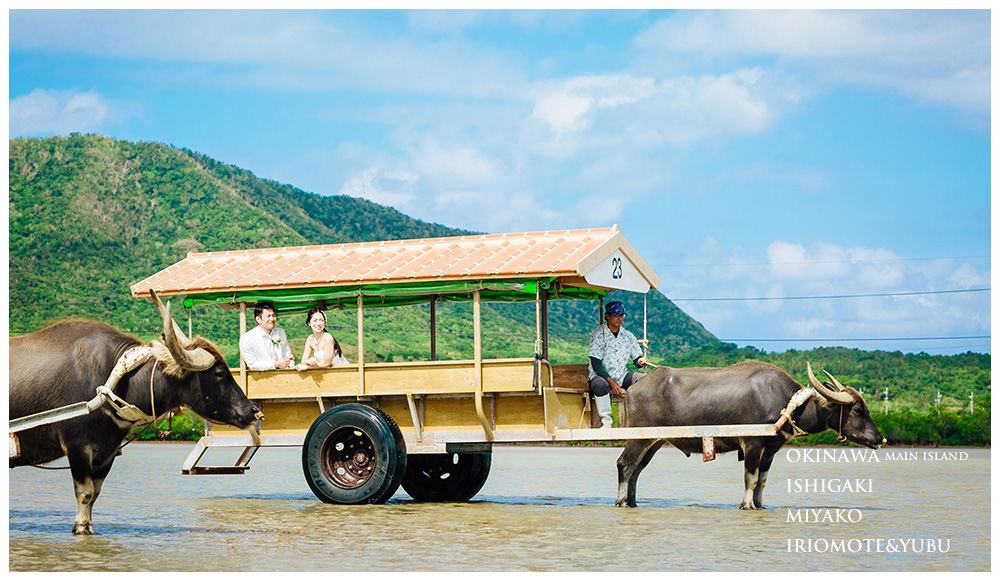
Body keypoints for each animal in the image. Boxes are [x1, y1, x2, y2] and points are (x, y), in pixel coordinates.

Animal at [9, 290, 260, 536]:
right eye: (219, 373)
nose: (253, 411)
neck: (115, 381)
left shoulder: (107, 452)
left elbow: (95, 493)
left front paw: (88, 525)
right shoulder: (77, 447)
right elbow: (85, 492)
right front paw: (81, 527)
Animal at [616, 360, 884, 510]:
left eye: (867, 408)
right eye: (857, 410)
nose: (880, 438)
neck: (786, 404)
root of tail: (633, 388)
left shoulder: (771, 450)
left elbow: (762, 481)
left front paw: (759, 504)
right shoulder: (752, 445)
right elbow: (751, 478)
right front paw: (746, 504)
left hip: (653, 441)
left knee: (637, 469)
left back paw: (632, 501)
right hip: (636, 438)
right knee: (624, 464)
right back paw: (620, 501)